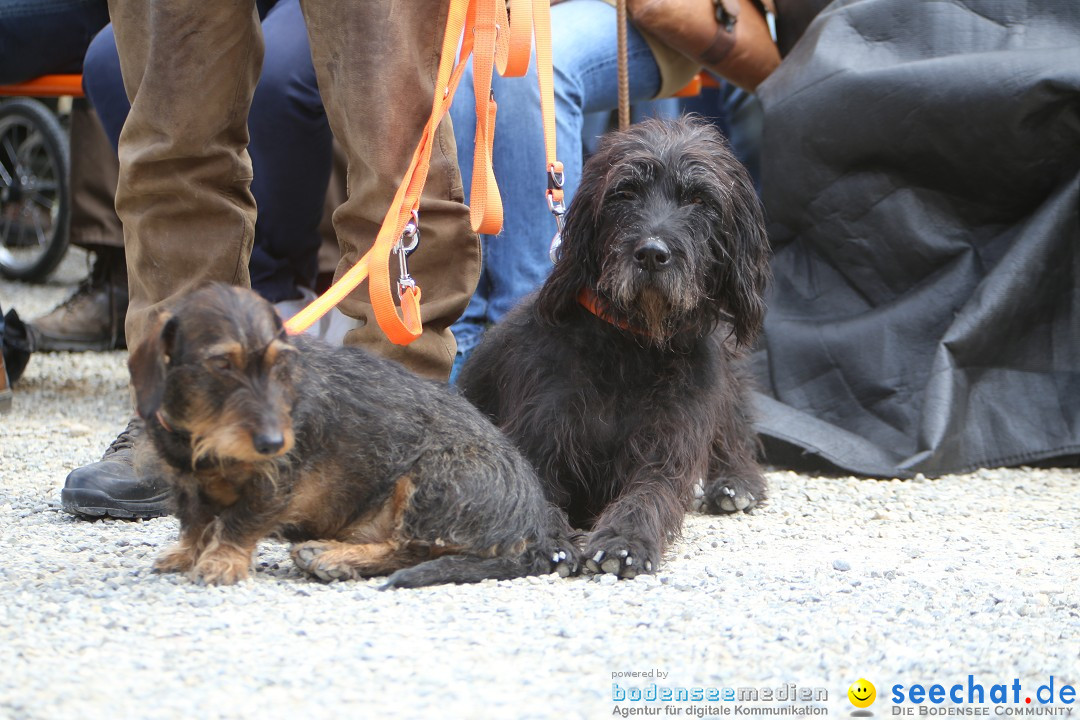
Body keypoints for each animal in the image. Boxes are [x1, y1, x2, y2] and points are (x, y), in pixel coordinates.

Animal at [460, 118, 773, 578]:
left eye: (700, 199)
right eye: (624, 193)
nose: (652, 254)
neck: (632, 345)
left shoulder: (667, 448)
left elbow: (648, 495)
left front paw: (625, 542)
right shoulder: (537, 437)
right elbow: (532, 490)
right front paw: (548, 540)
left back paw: (737, 480)